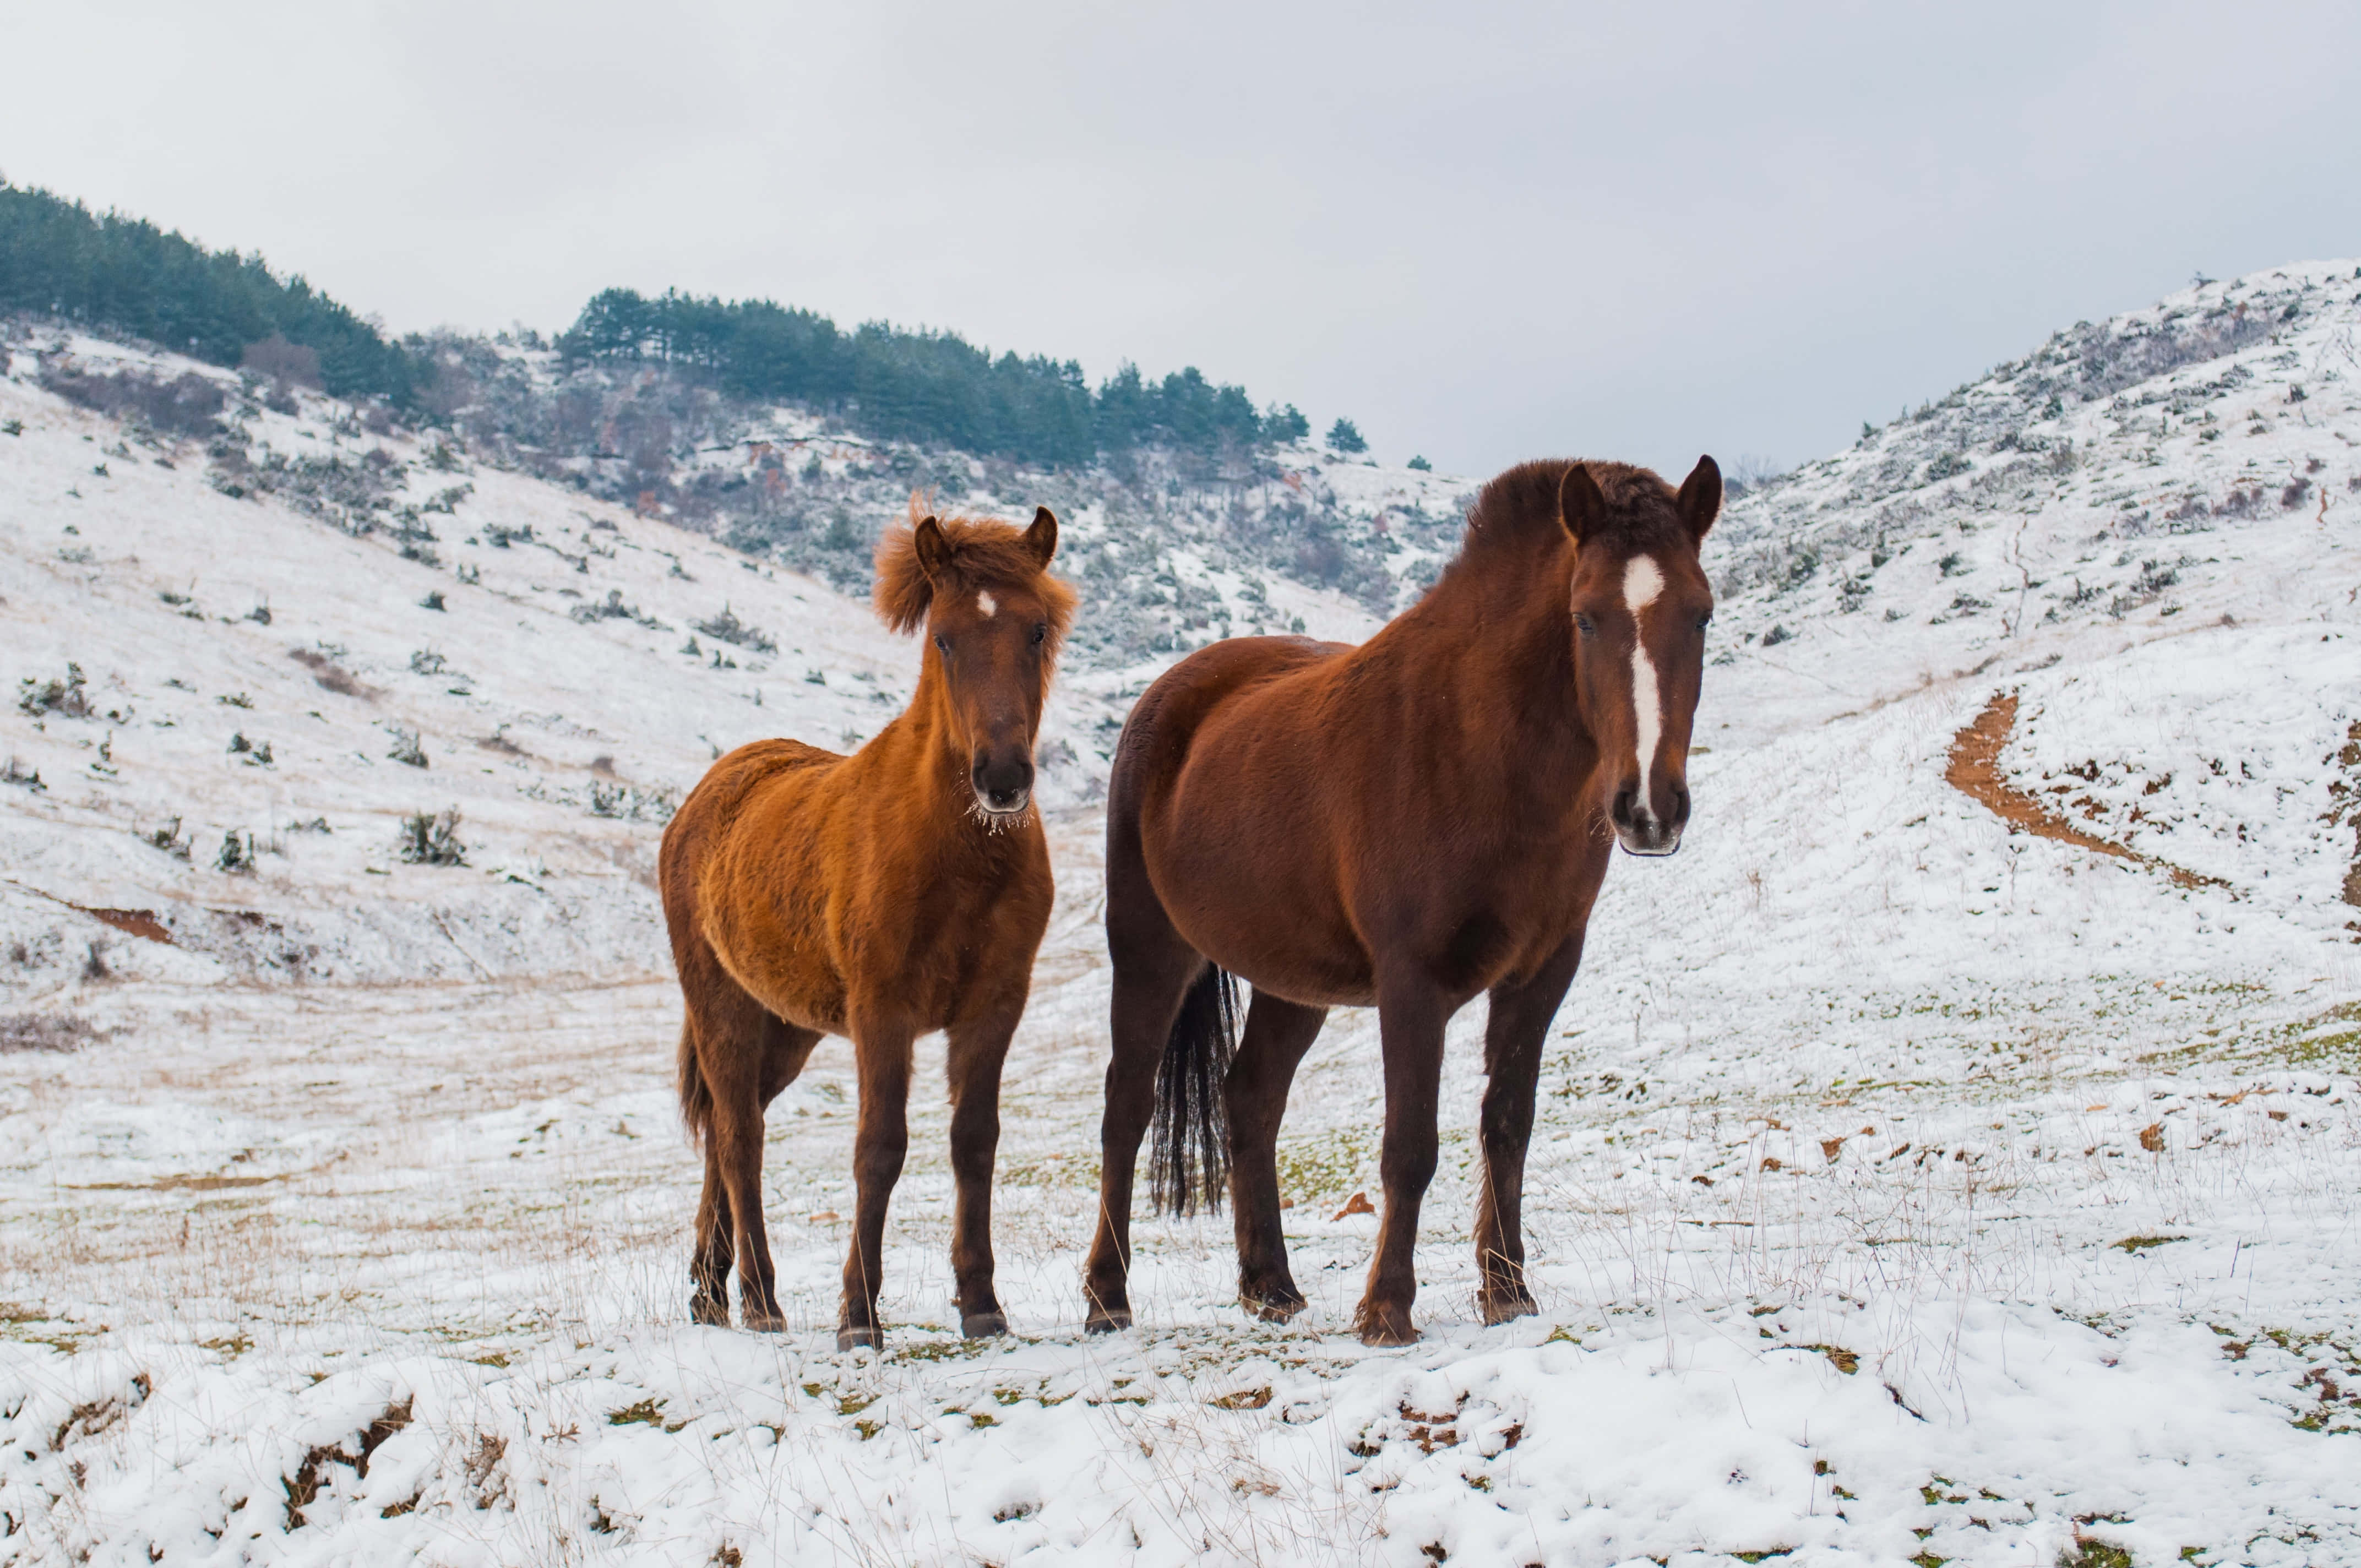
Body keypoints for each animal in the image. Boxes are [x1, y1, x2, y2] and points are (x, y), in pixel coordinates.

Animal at [659, 499, 1075, 1349]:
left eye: (1036, 631)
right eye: (944, 638)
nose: (1003, 778)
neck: (955, 855)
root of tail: (704, 798)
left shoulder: (995, 1007)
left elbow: (974, 1141)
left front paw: (982, 1303)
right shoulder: (884, 1011)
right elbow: (880, 1148)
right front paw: (858, 1315)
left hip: (786, 1028)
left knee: (725, 1128)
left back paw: (711, 1293)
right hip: (724, 1009)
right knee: (741, 1140)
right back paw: (761, 1299)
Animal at [1083, 457, 1720, 1345]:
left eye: (1701, 615)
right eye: (1586, 619)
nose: (1650, 809)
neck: (1479, 747)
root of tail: (1169, 696)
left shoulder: (1542, 974)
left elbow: (1506, 1125)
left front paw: (1507, 1290)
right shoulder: (1413, 984)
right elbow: (1410, 1145)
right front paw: (1388, 1308)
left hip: (1292, 980)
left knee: (1251, 1099)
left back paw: (1270, 1285)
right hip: (1150, 950)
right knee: (1126, 1108)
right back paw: (1107, 1297)